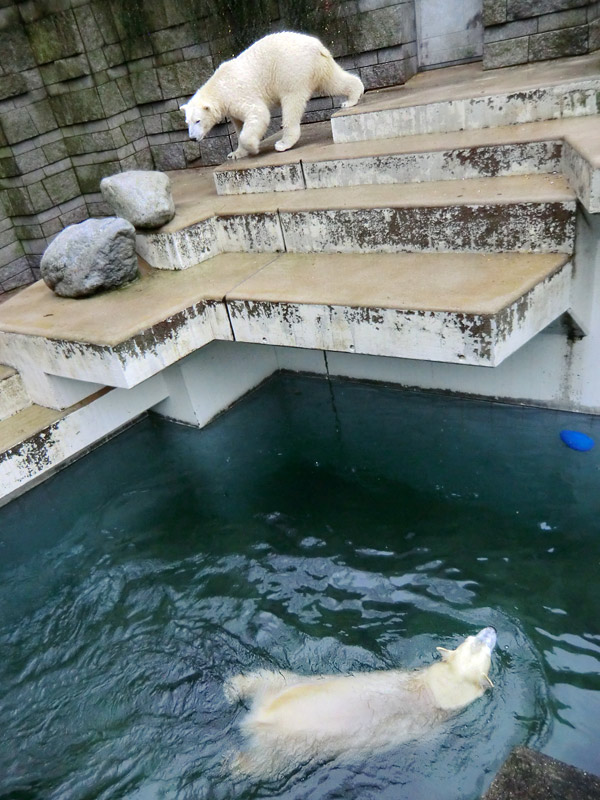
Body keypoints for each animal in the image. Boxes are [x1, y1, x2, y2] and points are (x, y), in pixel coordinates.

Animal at [180, 31, 364, 159]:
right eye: (187, 122)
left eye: (198, 121)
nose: (192, 138)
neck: (219, 87)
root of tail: (318, 46)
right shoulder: (231, 109)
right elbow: (239, 125)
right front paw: (235, 154)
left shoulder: (239, 94)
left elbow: (258, 113)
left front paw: (253, 147)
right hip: (318, 66)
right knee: (332, 82)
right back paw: (351, 98)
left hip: (291, 70)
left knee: (291, 103)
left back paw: (283, 143)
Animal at [225, 628, 496, 780]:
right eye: (476, 640)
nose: (492, 628)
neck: (438, 687)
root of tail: (258, 718)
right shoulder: (434, 724)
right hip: (287, 747)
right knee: (265, 765)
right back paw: (232, 763)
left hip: (285, 686)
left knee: (265, 677)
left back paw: (232, 688)